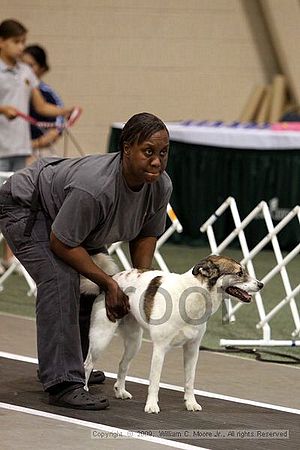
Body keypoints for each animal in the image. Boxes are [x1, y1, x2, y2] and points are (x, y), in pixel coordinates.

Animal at [82, 255, 262, 414]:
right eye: (239, 273)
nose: (261, 284)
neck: (193, 298)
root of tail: (111, 279)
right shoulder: (160, 349)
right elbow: (155, 382)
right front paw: (152, 405)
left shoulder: (192, 350)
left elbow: (189, 381)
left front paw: (191, 403)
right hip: (101, 337)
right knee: (88, 364)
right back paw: (84, 389)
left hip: (134, 342)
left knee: (122, 365)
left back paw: (120, 391)